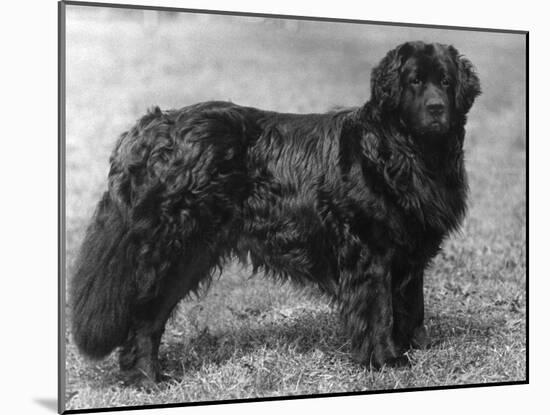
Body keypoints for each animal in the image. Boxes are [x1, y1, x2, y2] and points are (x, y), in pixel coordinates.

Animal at [70, 40, 484, 382]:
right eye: (414, 82)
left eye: (446, 82)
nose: (437, 108)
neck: (406, 154)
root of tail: (150, 128)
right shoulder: (371, 253)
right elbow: (380, 311)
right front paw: (387, 361)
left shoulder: (409, 250)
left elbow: (412, 307)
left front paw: (418, 349)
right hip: (173, 248)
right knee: (143, 316)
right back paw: (148, 378)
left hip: (192, 252)